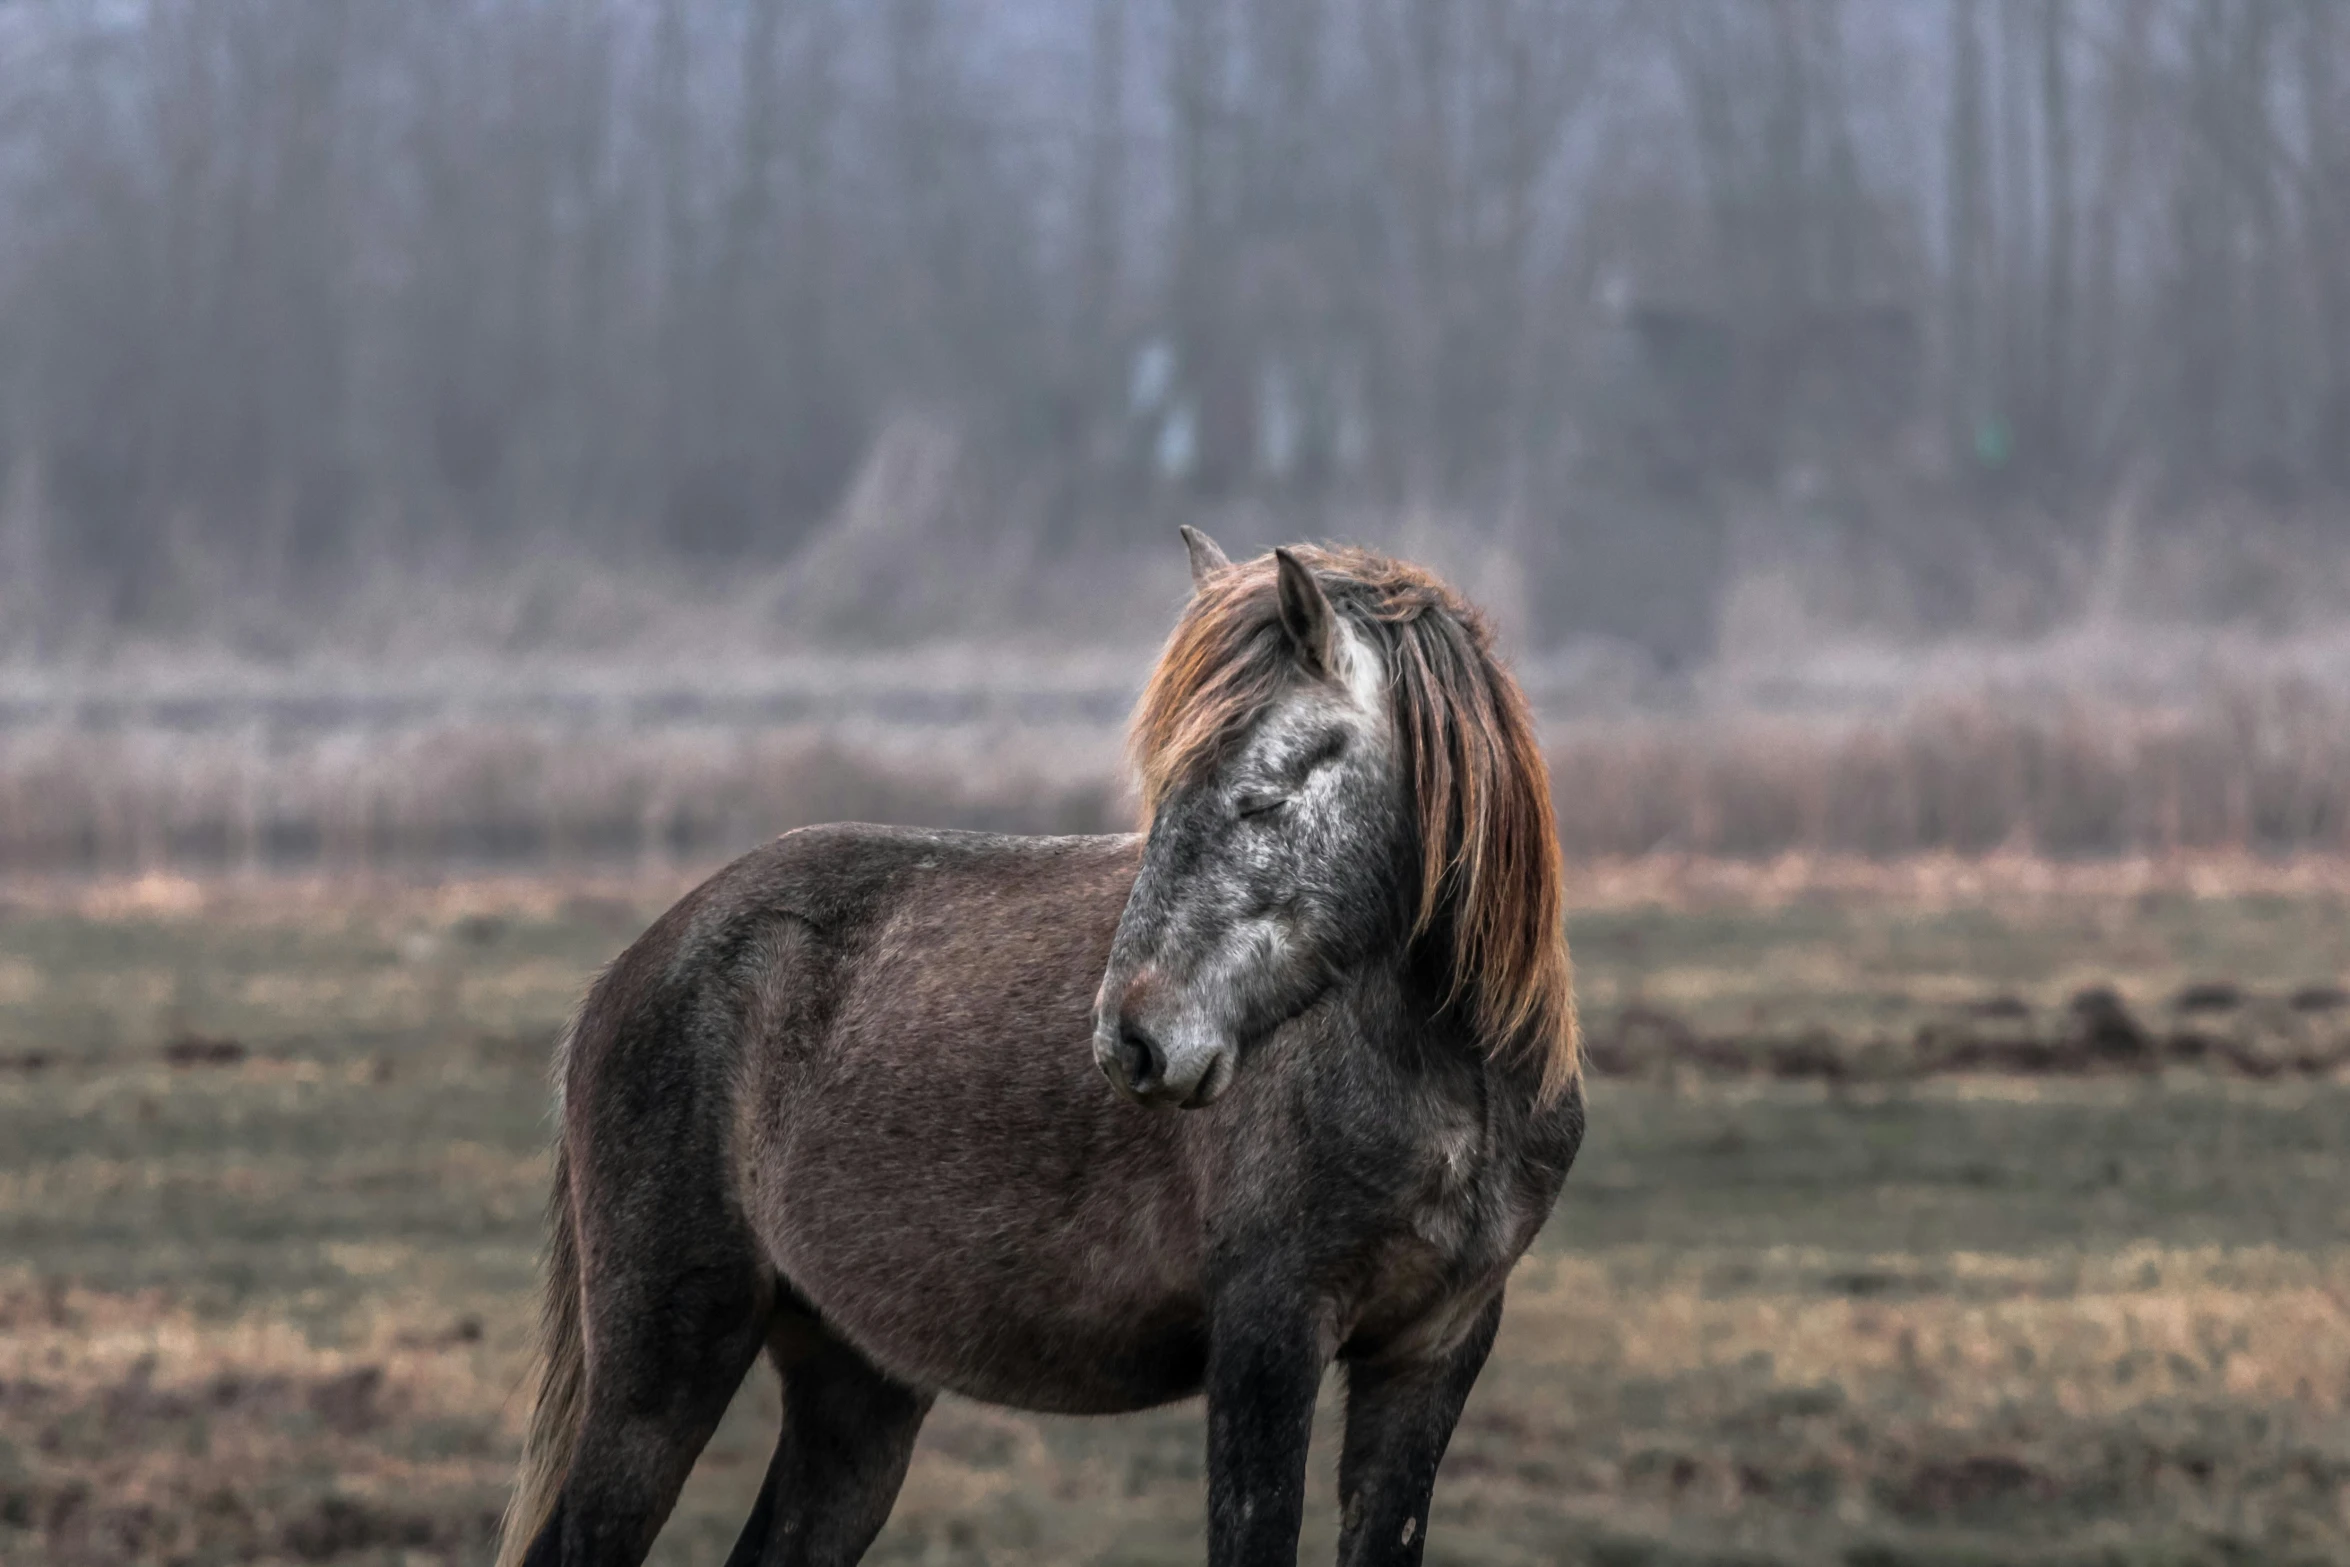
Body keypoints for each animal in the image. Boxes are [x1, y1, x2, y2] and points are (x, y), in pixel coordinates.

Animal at [502, 533, 1588, 1559]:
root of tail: (636, 965)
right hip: (664, 1365)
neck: (1452, 1089)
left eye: (1263, 796)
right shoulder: (1269, 1340)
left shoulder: (1430, 1353)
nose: (1132, 1041)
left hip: (855, 1384)